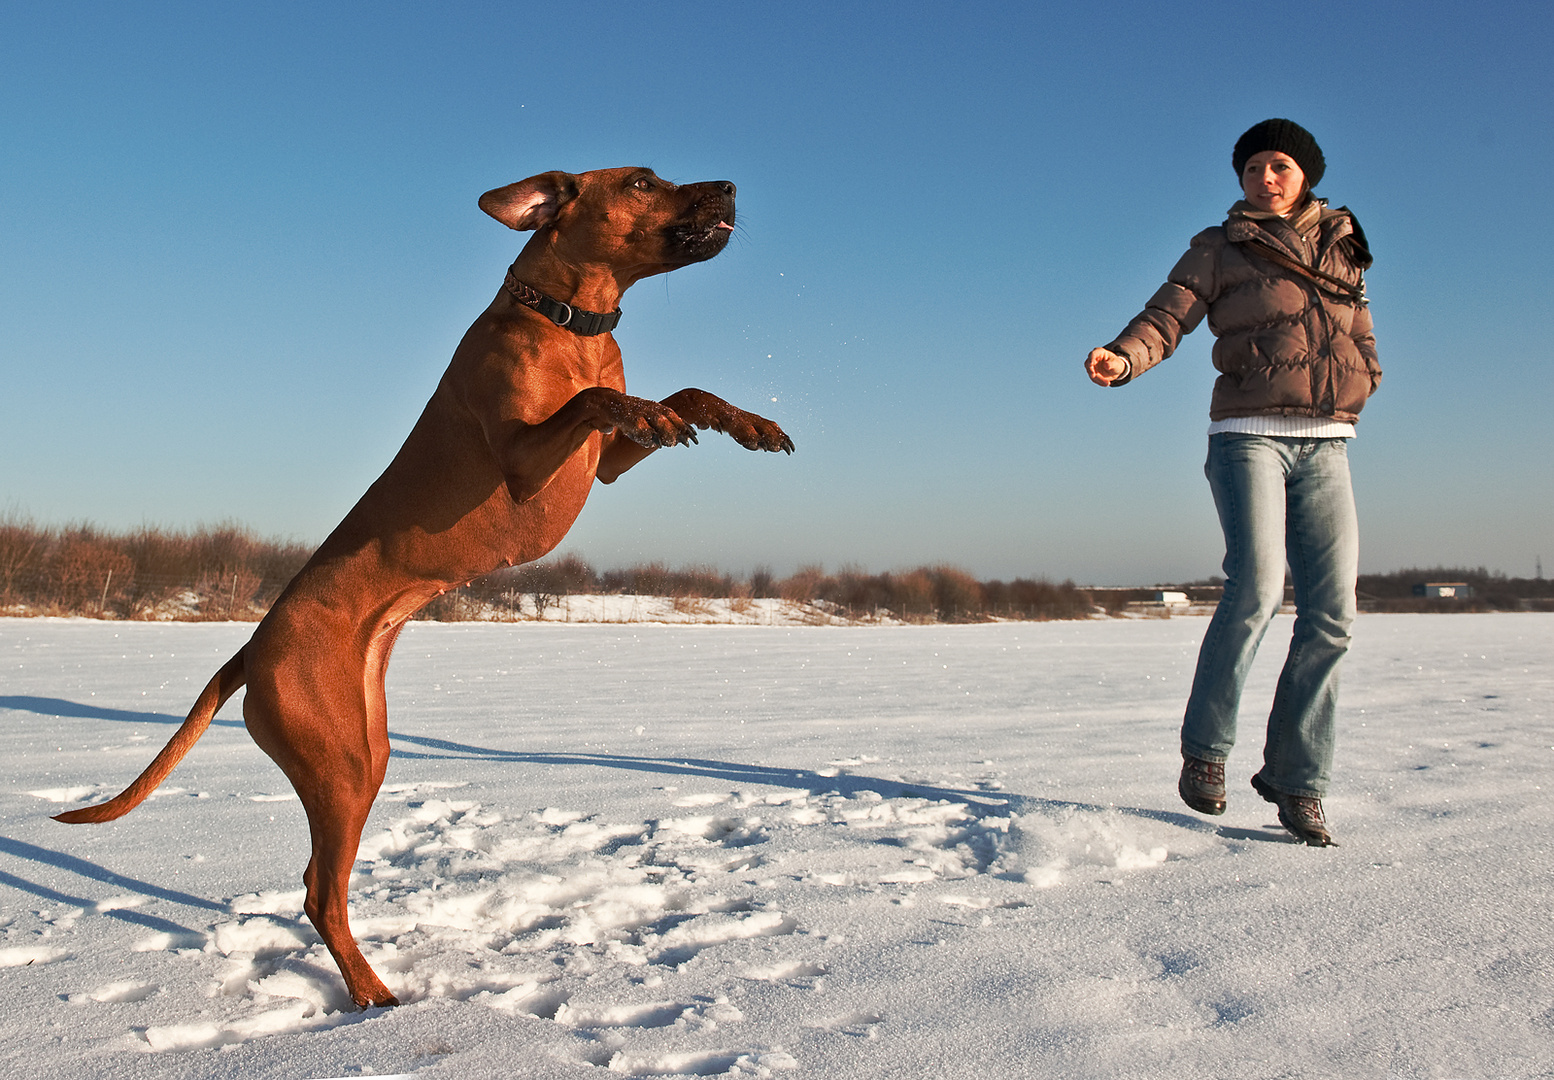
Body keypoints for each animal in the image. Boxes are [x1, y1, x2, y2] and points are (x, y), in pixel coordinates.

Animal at [56, 164, 795, 1006]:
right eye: (641, 180)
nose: (731, 185)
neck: (571, 328)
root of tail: (251, 646)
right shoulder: (523, 464)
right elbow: (593, 400)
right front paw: (650, 407)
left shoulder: (603, 463)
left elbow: (681, 397)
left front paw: (745, 422)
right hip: (339, 766)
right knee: (320, 891)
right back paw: (373, 995)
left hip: (365, 750)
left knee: (323, 879)